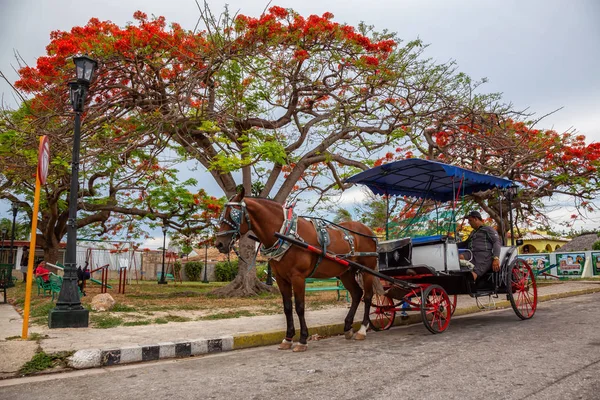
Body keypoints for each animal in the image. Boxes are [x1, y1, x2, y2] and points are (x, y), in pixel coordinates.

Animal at [213, 189, 378, 352]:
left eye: (233, 214)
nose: (219, 244)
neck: (286, 234)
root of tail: (368, 231)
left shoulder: (298, 277)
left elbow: (299, 307)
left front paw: (303, 340)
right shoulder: (281, 278)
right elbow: (287, 307)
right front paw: (288, 338)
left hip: (367, 270)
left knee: (368, 296)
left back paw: (362, 329)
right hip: (346, 272)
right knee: (357, 294)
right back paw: (348, 327)